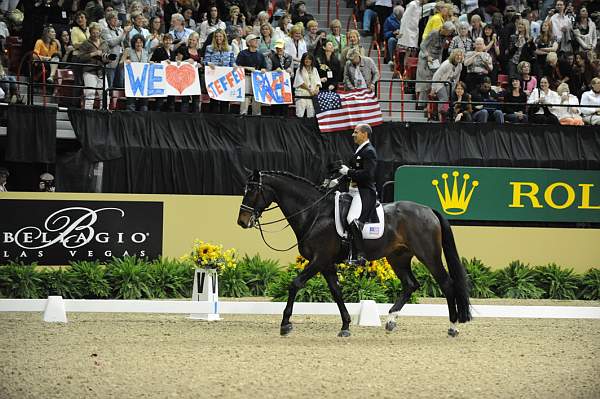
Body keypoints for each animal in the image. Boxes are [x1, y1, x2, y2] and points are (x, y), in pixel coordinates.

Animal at [237, 171, 472, 338]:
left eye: (252, 191)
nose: (242, 221)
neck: (314, 213)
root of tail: (428, 210)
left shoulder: (319, 259)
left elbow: (295, 284)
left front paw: (285, 324)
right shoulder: (326, 264)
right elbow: (336, 292)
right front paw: (345, 326)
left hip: (428, 255)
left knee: (446, 284)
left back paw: (452, 327)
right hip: (398, 257)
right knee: (410, 284)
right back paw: (391, 321)